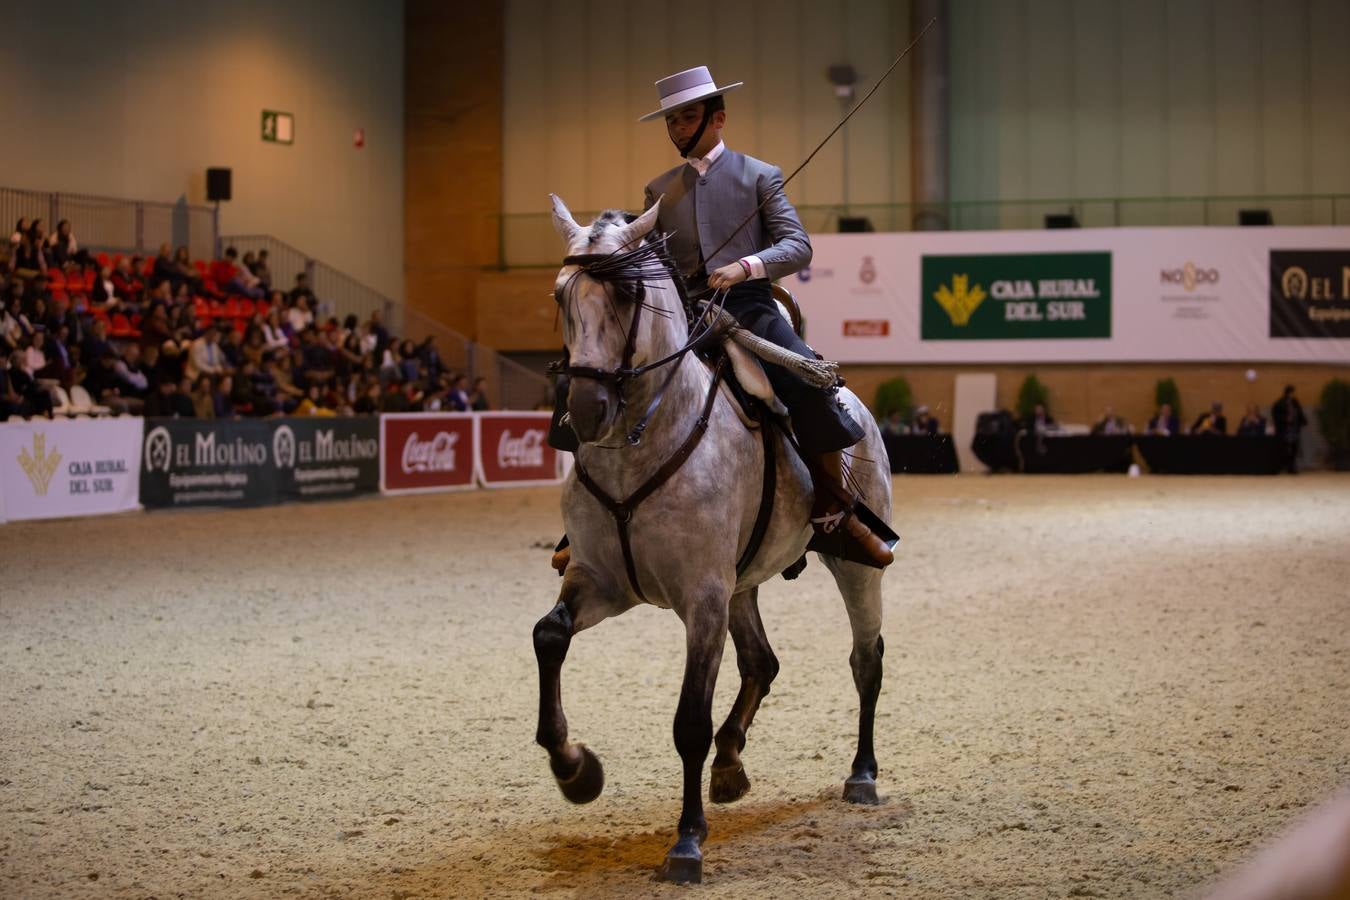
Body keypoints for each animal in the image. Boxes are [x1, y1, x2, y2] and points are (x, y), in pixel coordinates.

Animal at [531, 194, 891, 885]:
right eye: (560, 295)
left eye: (627, 294)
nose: (585, 411)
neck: (641, 442)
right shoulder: (602, 581)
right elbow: (549, 636)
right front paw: (575, 769)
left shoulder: (700, 599)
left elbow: (689, 721)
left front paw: (686, 842)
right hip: (741, 585)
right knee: (762, 663)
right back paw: (730, 764)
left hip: (854, 570)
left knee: (866, 660)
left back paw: (861, 773)